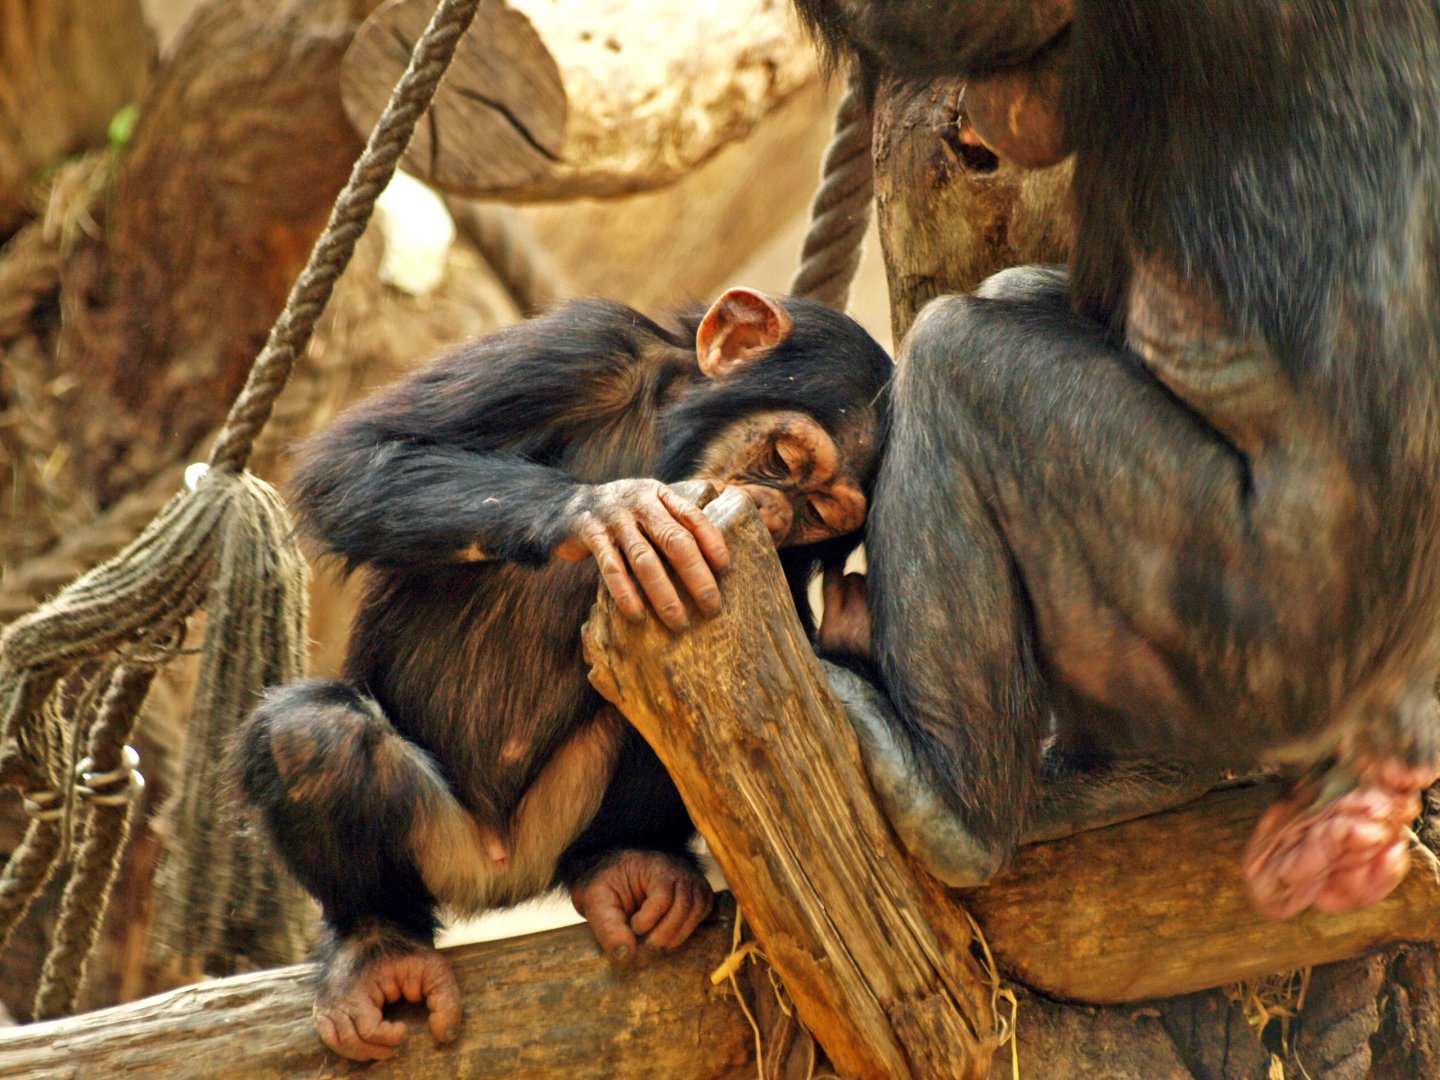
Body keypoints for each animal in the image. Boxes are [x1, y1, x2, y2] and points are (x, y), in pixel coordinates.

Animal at [235, 287, 891, 1060]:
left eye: (818, 515)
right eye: (786, 458)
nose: (772, 510)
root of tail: (498, 872)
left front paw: (855, 631)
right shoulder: (577, 348)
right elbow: (362, 456)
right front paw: (611, 510)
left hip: (561, 816)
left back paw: (630, 865)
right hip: (434, 842)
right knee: (313, 738)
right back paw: (377, 949)